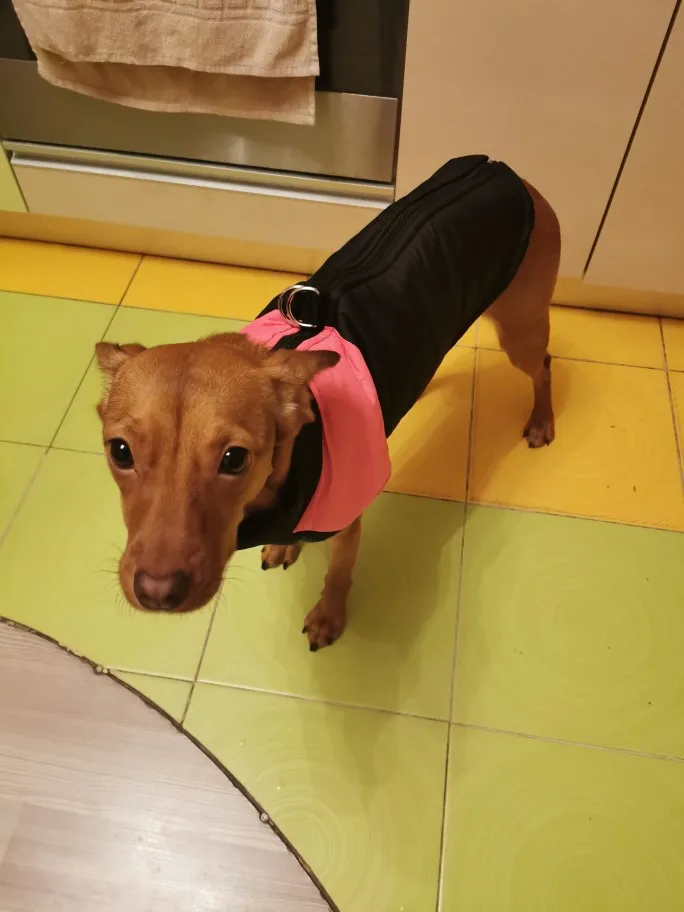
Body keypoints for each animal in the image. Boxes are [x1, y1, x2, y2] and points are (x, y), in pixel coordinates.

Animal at [96, 157, 560, 650]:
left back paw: (541, 420)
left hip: (521, 329)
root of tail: (504, 171)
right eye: (119, 452)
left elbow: (339, 574)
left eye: (234, 459)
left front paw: (328, 618)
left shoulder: (345, 522)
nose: (158, 592)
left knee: (545, 365)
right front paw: (286, 545)